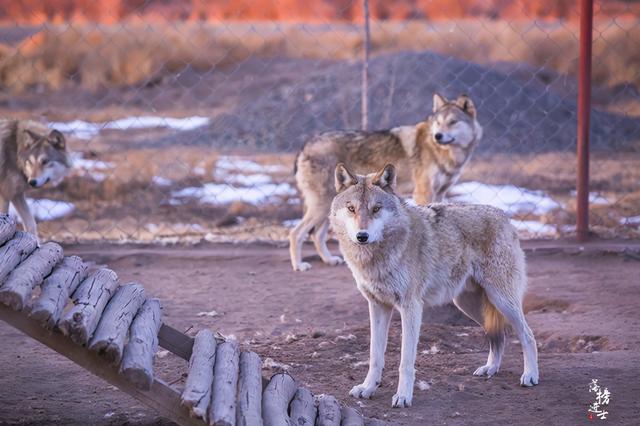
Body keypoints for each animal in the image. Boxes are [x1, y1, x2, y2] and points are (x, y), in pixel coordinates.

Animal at [330, 164, 540, 410]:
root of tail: (505, 216)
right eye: (351, 208)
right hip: (469, 305)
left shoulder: (411, 307)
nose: (362, 236)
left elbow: (405, 362)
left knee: (527, 334)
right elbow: (375, 356)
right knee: (499, 335)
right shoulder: (377, 306)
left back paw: (530, 375)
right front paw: (368, 388)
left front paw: (403, 396)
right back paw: (491, 368)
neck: (375, 257)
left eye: (376, 209)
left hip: (501, 299)